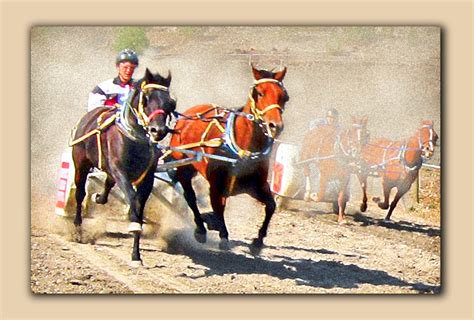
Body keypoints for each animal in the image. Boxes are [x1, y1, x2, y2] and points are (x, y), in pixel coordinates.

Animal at [72, 68, 178, 264]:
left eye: (171, 103)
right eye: (146, 98)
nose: (158, 131)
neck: (135, 139)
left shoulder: (147, 178)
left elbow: (139, 205)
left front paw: (136, 255)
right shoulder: (121, 173)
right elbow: (132, 200)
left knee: (107, 184)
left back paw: (99, 198)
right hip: (81, 164)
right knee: (80, 193)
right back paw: (77, 230)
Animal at [167, 65, 286, 255]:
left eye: (284, 96)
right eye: (259, 93)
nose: (275, 126)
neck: (243, 150)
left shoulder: (256, 186)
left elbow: (271, 206)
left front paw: (257, 242)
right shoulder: (216, 186)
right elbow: (218, 208)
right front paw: (222, 235)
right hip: (184, 167)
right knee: (190, 196)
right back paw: (200, 229)